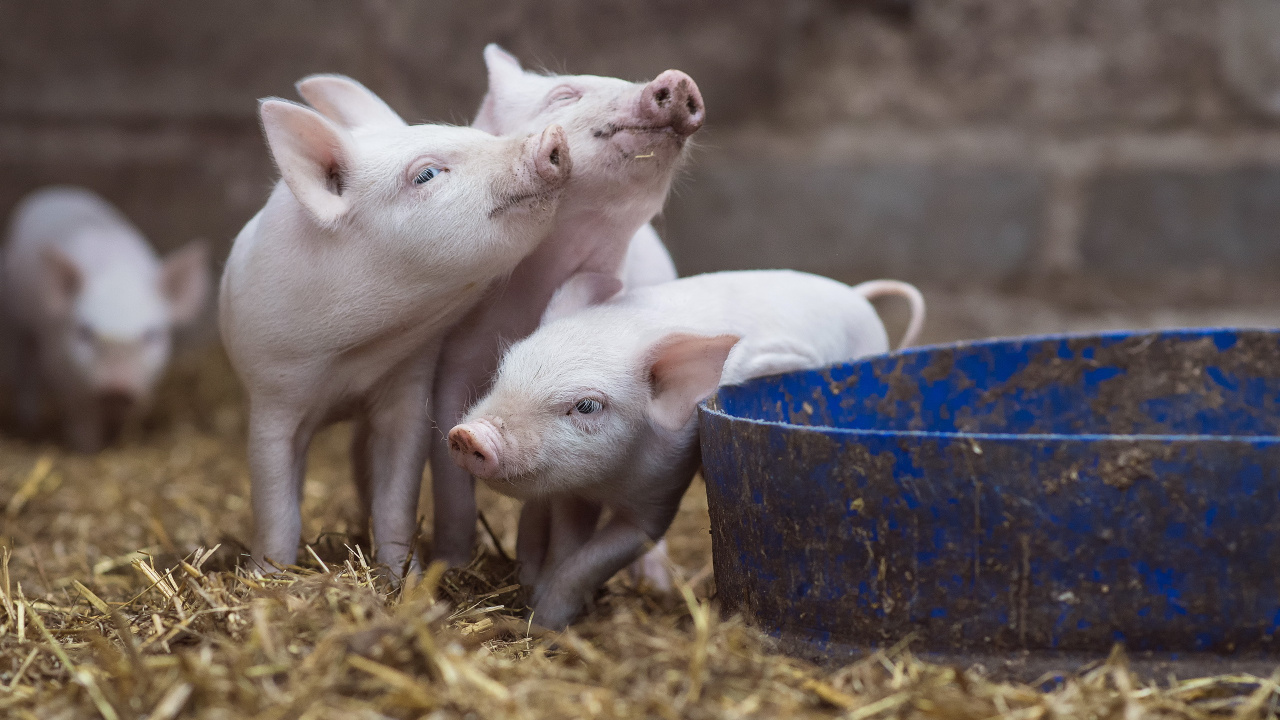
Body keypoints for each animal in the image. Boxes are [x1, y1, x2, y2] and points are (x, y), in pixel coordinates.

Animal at [1, 186, 210, 452]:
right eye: (84, 332)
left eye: (152, 335)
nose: (117, 388)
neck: (115, 272)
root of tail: (56, 191)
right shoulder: (58, 365)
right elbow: (81, 413)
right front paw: (87, 449)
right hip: (16, 322)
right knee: (25, 370)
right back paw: (29, 421)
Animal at [218, 85, 572, 574]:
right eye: (426, 174)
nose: (553, 135)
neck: (352, 353)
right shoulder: (273, 393)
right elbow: (276, 505)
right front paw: (268, 574)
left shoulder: (406, 385)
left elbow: (396, 499)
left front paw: (404, 577)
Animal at [430, 44, 704, 566]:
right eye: (563, 95)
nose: (679, 80)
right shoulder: (454, 361)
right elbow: (450, 482)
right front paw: (447, 565)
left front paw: (528, 561)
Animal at [447, 270, 926, 628]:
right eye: (505, 369)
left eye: (586, 406)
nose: (468, 435)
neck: (610, 482)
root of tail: (856, 294)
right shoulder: (573, 492)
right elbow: (568, 545)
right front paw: (538, 606)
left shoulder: (659, 497)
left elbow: (597, 559)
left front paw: (546, 623)